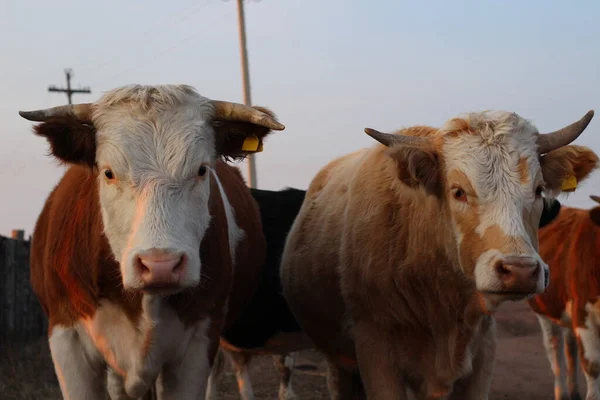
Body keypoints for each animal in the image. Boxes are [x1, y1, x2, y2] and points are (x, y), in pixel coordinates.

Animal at [532, 196, 600, 400]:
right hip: (545, 311)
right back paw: (561, 393)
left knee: (571, 348)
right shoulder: (584, 315)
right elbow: (592, 365)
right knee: (555, 348)